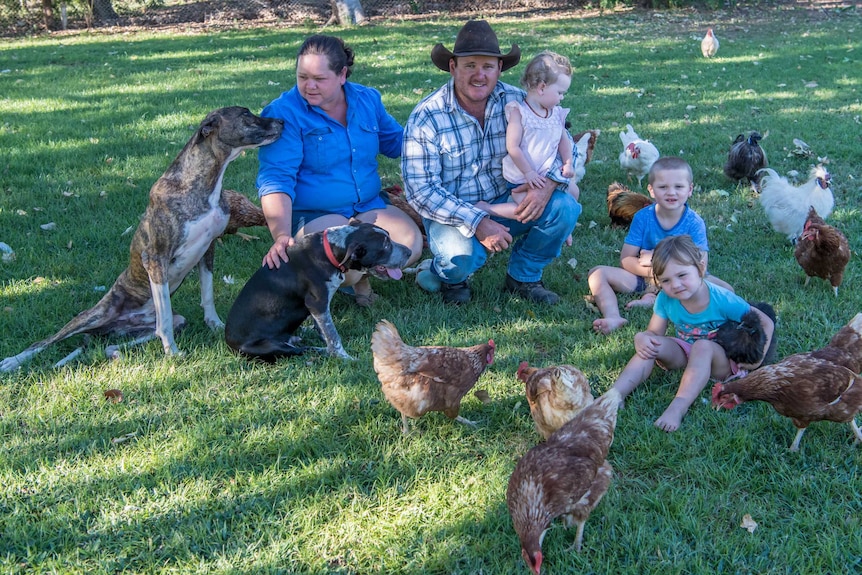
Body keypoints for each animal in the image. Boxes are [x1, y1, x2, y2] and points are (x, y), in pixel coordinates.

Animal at [0, 106, 284, 372]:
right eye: (245, 114)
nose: (282, 121)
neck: (203, 184)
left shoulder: (208, 248)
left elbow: (207, 294)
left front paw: (215, 324)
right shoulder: (156, 259)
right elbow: (164, 316)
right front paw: (172, 352)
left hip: (150, 328)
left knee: (120, 341)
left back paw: (113, 351)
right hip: (92, 315)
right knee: (44, 342)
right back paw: (12, 361)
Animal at [224, 222, 410, 362]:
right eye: (385, 245)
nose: (409, 252)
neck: (330, 252)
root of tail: (230, 344)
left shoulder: (318, 308)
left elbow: (323, 329)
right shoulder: (317, 303)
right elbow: (333, 336)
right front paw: (344, 357)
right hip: (269, 347)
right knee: (302, 350)